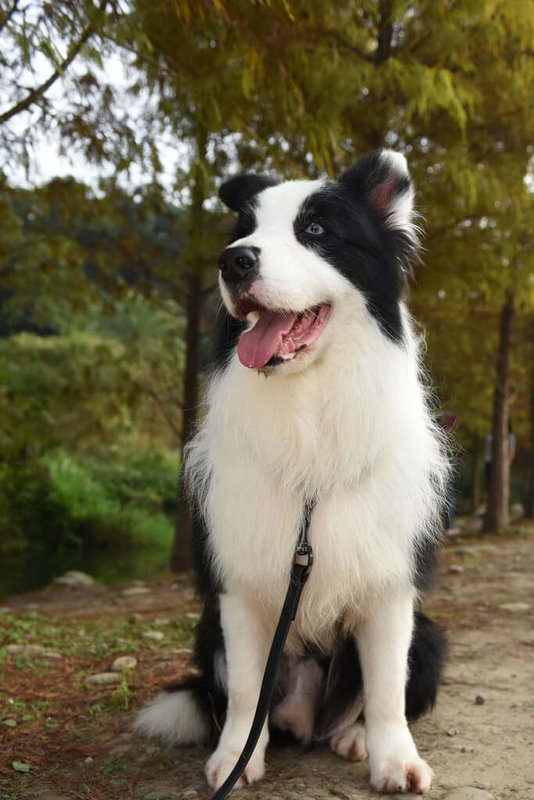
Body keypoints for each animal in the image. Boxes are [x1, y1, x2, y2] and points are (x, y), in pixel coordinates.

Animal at [137, 148, 448, 792]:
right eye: (245, 230)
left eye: (317, 231)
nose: (234, 261)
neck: (307, 397)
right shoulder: (240, 579)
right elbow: (243, 689)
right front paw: (236, 757)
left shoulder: (388, 579)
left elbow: (386, 689)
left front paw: (394, 760)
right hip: (207, 629)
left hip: (432, 637)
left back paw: (353, 737)